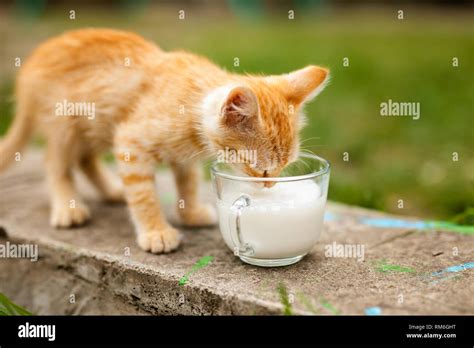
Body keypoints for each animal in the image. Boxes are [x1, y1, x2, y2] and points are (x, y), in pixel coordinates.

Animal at [0, 29, 330, 253]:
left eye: (282, 168)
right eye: (261, 170)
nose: (270, 187)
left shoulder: (182, 156)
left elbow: (188, 182)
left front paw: (190, 212)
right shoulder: (130, 142)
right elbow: (143, 194)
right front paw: (156, 231)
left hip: (96, 125)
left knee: (84, 158)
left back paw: (111, 190)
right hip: (65, 123)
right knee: (55, 162)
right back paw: (67, 207)